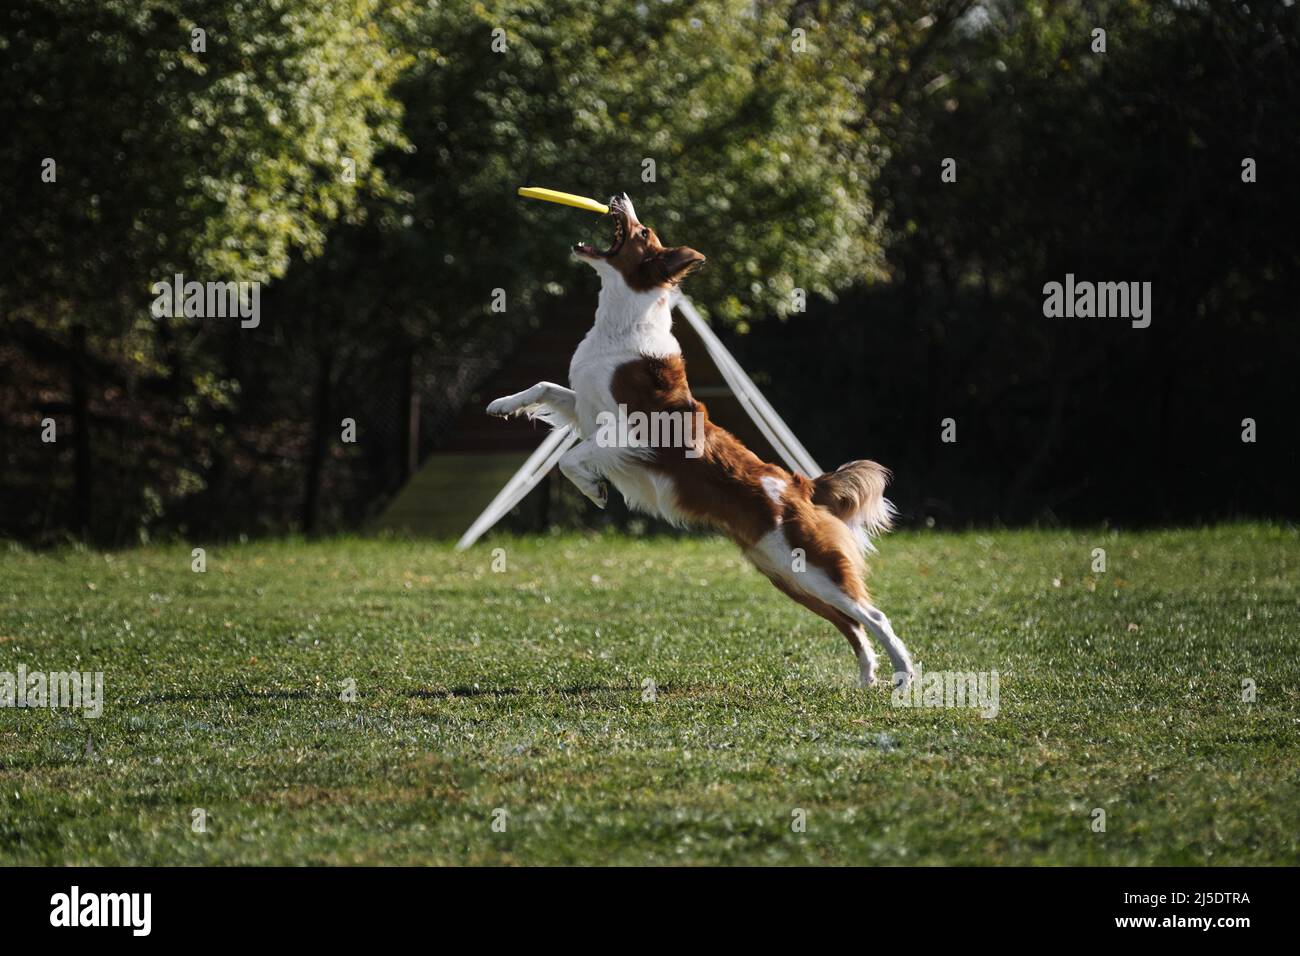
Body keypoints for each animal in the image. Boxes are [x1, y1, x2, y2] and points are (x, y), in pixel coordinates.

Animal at [488, 195, 915, 686]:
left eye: (642, 231)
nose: (619, 197)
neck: (620, 324)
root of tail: (800, 486)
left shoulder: (634, 431)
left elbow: (570, 459)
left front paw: (594, 490)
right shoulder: (586, 409)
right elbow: (543, 388)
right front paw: (502, 403)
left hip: (809, 565)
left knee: (874, 616)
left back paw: (904, 675)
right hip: (788, 575)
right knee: (851, 622)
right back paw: (867, 677)